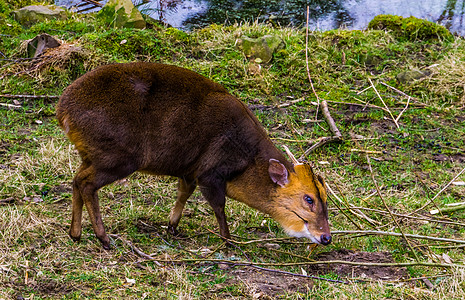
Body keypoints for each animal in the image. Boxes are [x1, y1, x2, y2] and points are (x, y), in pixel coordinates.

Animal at [56, 62, 330, 250]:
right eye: (308, 199)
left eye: (325, 198)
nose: (326, 237)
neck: (247, 162)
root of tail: (63, 111)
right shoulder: (210, 173)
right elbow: (219, 206)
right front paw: (228, 241)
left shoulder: (189, 170)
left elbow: (183, 194)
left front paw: (172, 226)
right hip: (117, 156)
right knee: (86, 184)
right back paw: (103, 238)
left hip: (91, 154)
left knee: (76, 179)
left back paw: (75, 233)